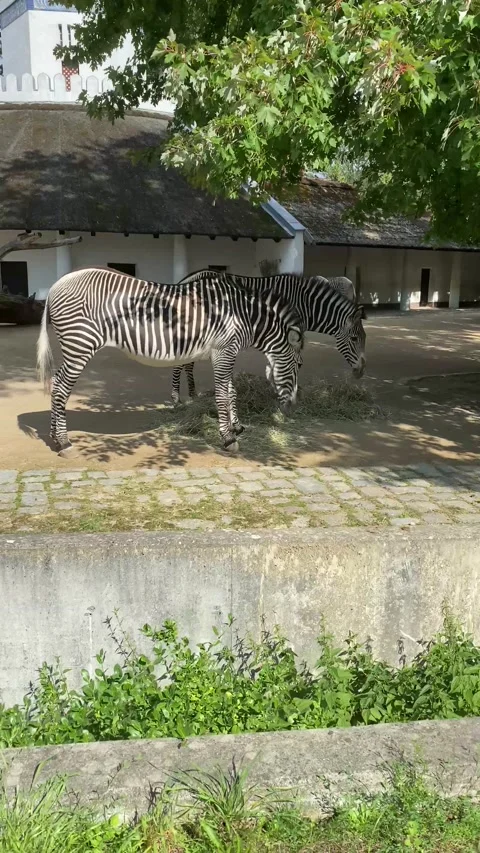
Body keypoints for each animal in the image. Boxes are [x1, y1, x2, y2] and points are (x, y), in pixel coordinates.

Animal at [36, 267, 304, 456]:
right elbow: (221, 395)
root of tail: (56, 285)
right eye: (297, 367)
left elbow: (231, 392)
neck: (243, 314)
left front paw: (236, 427)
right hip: (79, 344)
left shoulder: (226, 352)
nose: (293, 408)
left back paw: (54, 436)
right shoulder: (224, 351)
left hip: (74, 346)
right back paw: (64, 442)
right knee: (61, 389)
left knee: (56, 384)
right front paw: (228, 439)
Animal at [170, 272, 365, 404]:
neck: (305, 305)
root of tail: (183, 281)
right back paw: (176, 398)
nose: (361, 372)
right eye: (355, 339)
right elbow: (293, 361)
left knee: (188, 362)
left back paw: (193, 394)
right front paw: (283, 389)